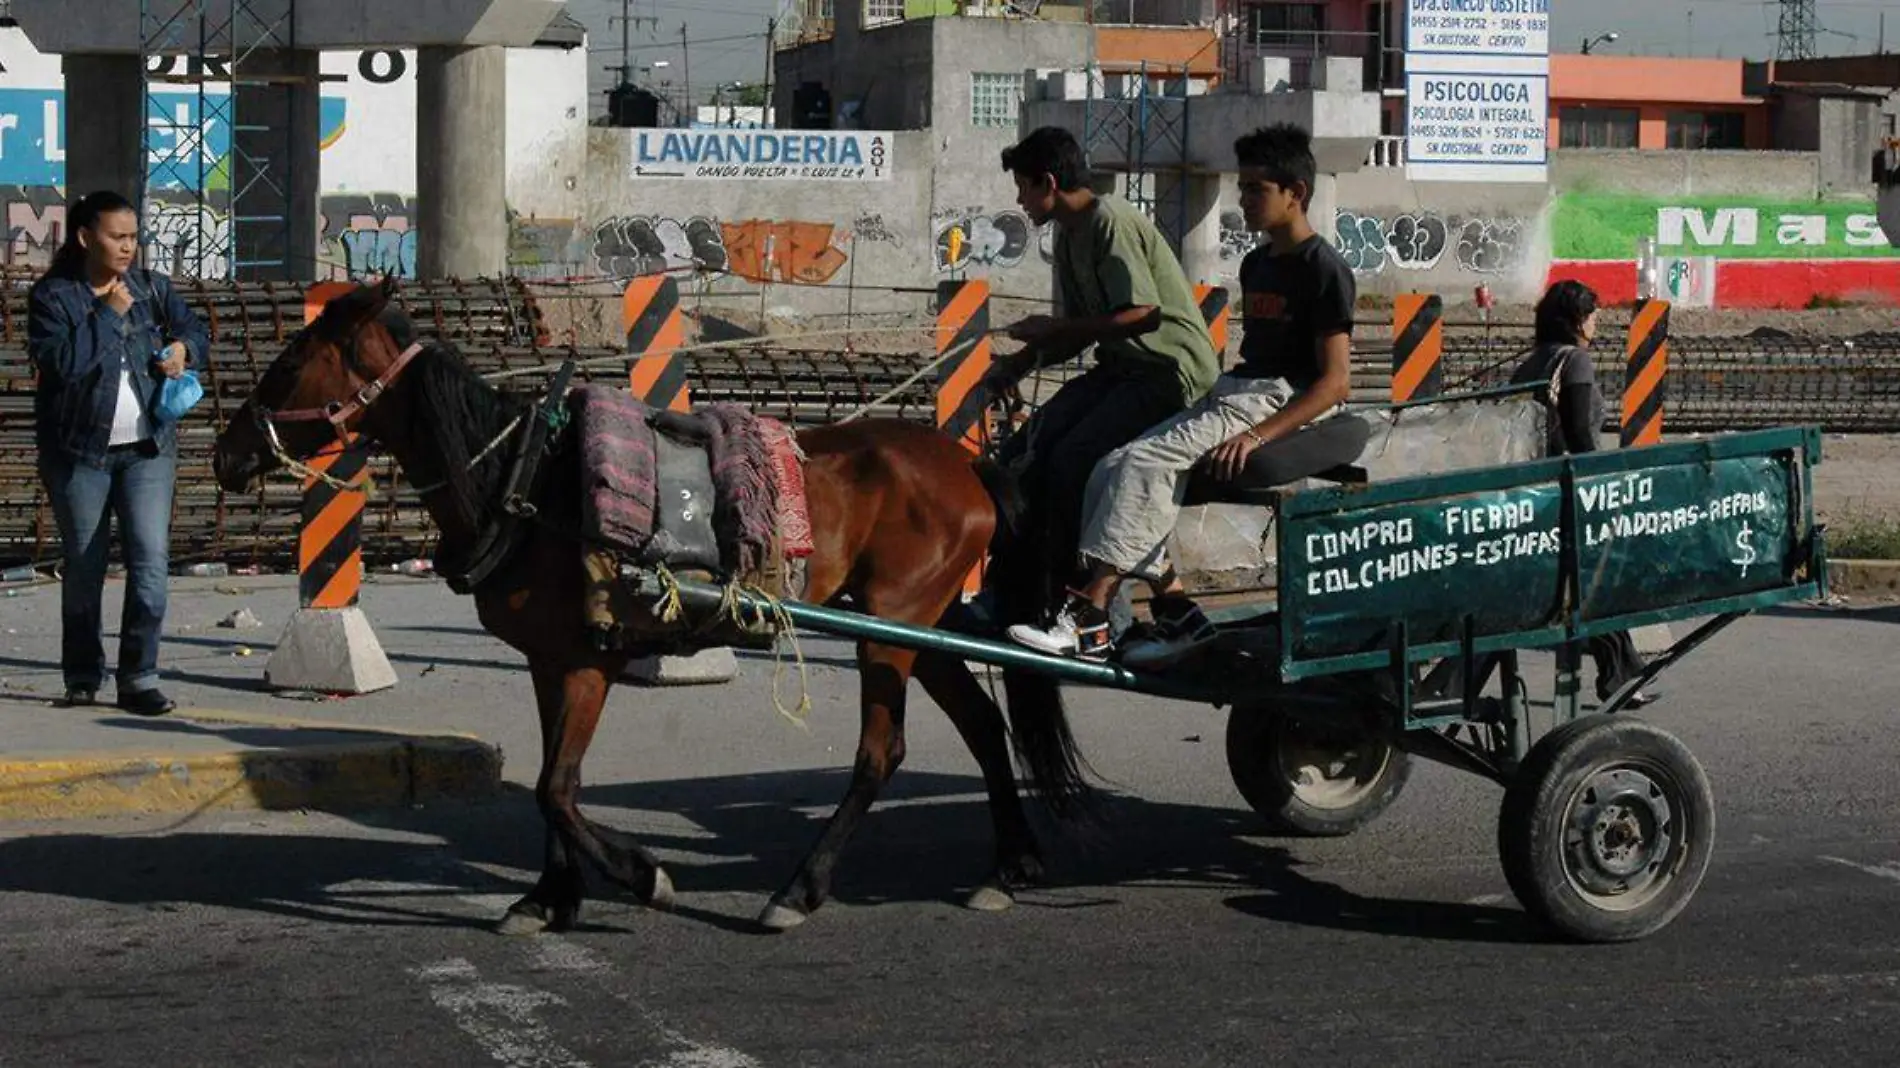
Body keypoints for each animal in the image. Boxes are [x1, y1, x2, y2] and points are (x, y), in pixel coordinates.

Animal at [209, 275, 1094, 931]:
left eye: (289, 363)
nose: (224, 454)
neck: (528, 483)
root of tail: (967, 462)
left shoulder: (587, 661)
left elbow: (556, 788)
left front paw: (642, 876)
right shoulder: (549, 660)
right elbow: (552, 781)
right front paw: (549, 897)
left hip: (894, 627)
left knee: (882, 754)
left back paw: (798, 890)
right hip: (919, 622)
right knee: (981, 725)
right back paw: (1010, 863)